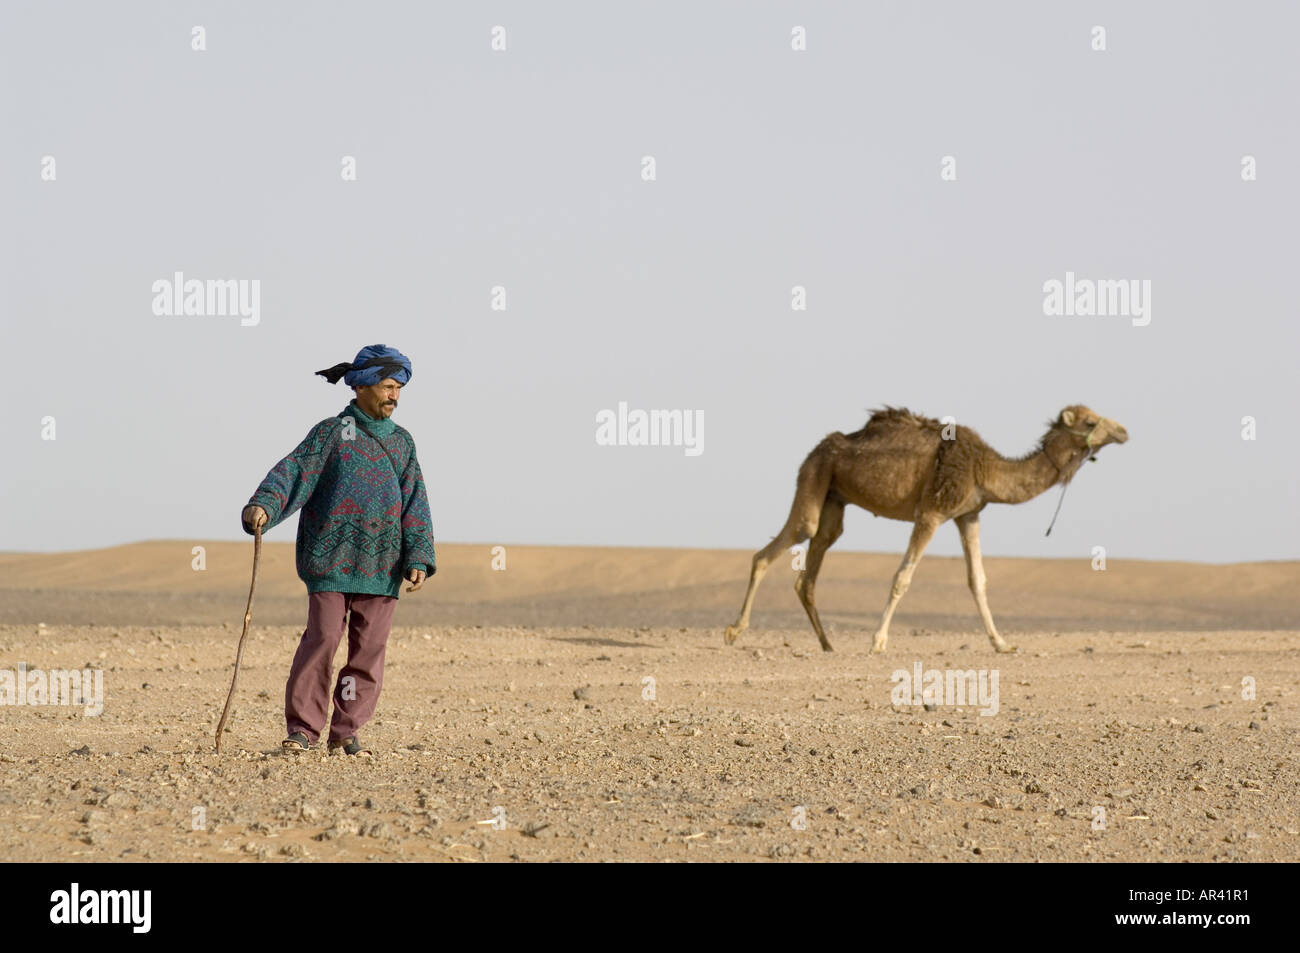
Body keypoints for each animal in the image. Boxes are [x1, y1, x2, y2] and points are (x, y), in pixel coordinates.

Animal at [722, 400, 1128, 655]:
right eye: (1090, 422)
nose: (1123, 430)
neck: (986, 470)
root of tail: (820, 446)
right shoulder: (931, 512)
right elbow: (902, 577)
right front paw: (878, 642)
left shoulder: (968, 514)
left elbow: (977, 580)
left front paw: (1002, 644)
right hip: (814, 473)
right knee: (777, 547)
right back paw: (733, 631)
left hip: (834, 497)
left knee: (812, 562)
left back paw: (827, 644)